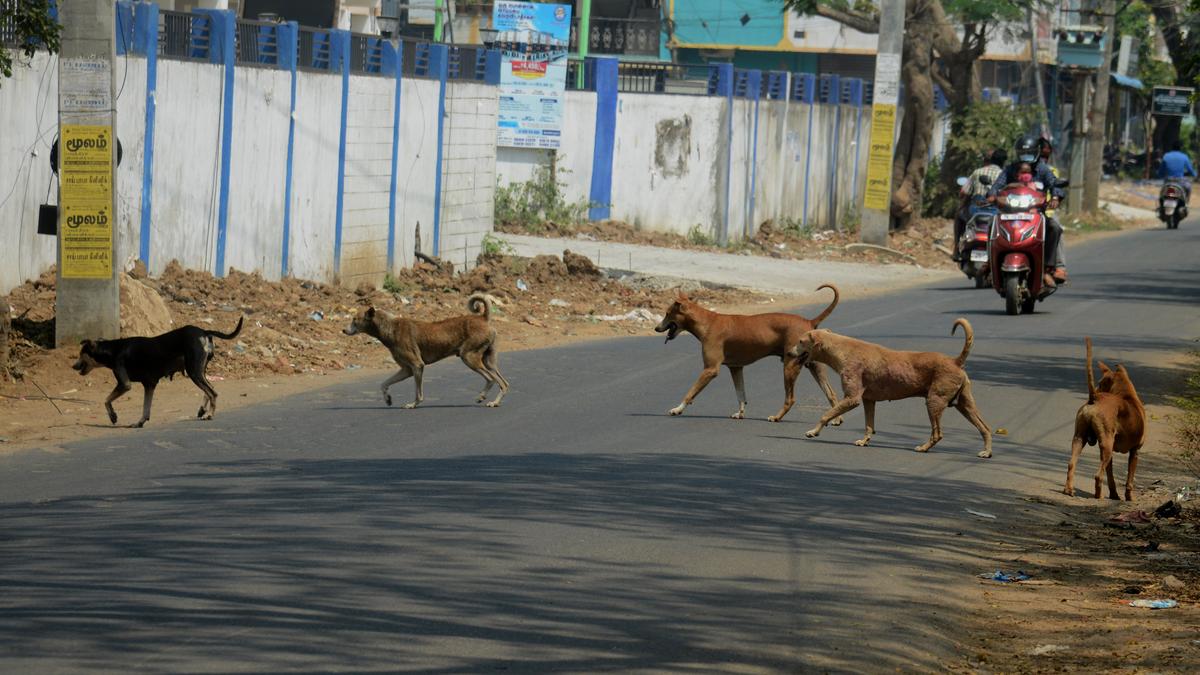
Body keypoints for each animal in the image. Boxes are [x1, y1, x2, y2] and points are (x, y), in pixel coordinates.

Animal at [72, 314, 243, 425]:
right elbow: (146, 408)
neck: (114, 349)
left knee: (213, 392)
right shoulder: (149, 384)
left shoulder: (124, 384)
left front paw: (113, 416)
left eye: (81, 353)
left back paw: (209, 415)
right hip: (199, 370)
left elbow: (106, 400)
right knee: (210, 389)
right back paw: (202, 410)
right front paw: (140, 422)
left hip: (194, 371)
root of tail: (204, 332)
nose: (73, 366)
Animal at [350, 293, 513, 408]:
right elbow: (384, 384)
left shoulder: (417, 365)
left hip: (468, 357)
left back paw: (483, 397)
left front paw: (413, 404)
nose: (345, 330)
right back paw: (495, 402)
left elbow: (418, 393)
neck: (389, 327)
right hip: (488, 361)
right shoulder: (406, 370)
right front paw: (387, 399)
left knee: (491, 379)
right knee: (503, 383)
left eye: (354, 320)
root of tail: (482, 318)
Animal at [657, 282, 844, 420]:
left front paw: (677, 409)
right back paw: (835, 419)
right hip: (815, 366)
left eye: (667, 313)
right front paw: (740, 413)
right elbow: (741, 394)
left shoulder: (710, 370)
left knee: (790, 399)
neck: (707, 322)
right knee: (831, 393)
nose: (656, 328)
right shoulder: (736, 368)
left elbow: (690, 392)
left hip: (790, 367)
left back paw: (777, 417)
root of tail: (809, 321)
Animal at [787, 317, 993, 456]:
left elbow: (826, 414)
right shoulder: (868, 400)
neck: (841, 349)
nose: (788, 352)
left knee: (938, 433)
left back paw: (923, 448)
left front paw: (814, 431)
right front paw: (864, 441)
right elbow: (869, 425)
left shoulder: (852, 399)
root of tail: (955, 361)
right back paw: (986, 451)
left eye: (800, 341)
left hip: (934, 402)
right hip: (964, 404)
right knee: (985, 428)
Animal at [1070, 336, 1142, 499]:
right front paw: (1129, 497)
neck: (1127, 395)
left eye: (1100, 383)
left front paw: (1114, 494)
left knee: (1071, 463)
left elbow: (1111, 477)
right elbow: (1129, 480)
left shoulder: (1111, 453)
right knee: (1097, 476)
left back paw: (1069, 489)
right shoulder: (1135, 451)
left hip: (1080, 439)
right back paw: (1098, 496)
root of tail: (1094, 398)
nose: (1097, 389)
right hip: (1107, 445)